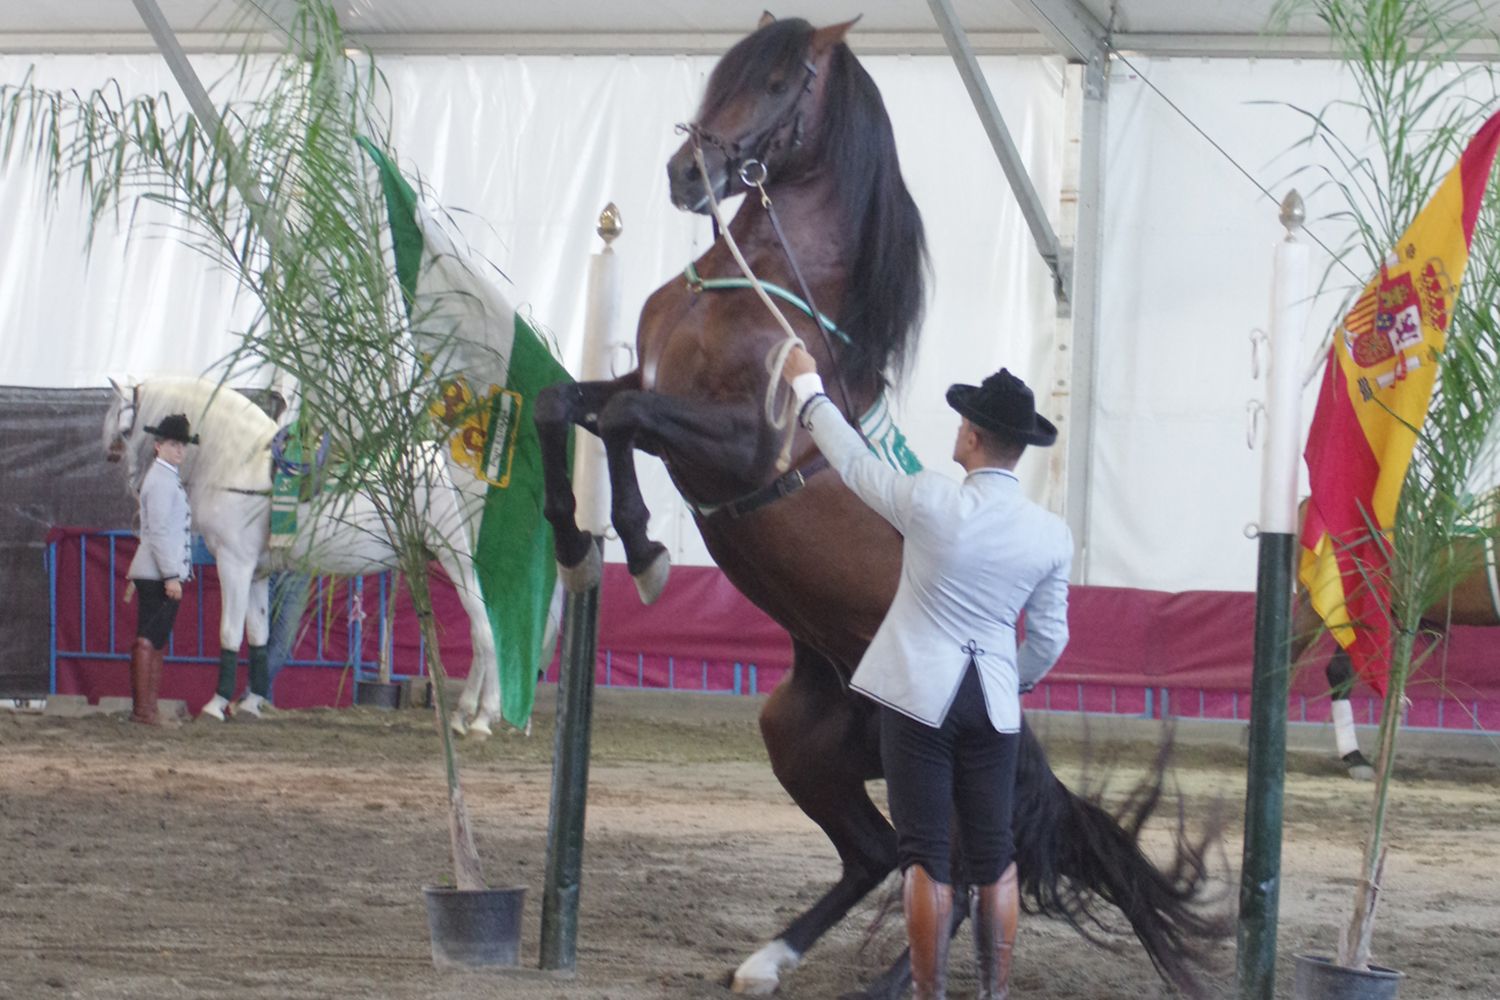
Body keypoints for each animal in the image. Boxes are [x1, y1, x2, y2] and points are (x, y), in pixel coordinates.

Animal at [105, 374, 552, 734]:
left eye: (124, 429)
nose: (130, 481)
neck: (240, 466)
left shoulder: (234, 564)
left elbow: (229, 634)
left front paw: (216, 706)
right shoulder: (257, 573)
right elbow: (259, 636)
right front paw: (250, 702)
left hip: (457, 558)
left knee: (483, 631)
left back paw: (479, 719)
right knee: (484, 630)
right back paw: (465, 715)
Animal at [540, 17, 1230, 1000]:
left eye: (780, 82)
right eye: (727, 73)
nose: (686, 174)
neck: (758, 286)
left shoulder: (737, 448)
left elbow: (623, 423)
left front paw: (641, 551)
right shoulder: (641, 384)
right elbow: (565, 404)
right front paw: (575, 542)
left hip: (923, 770)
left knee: (957, 874)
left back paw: (880, 981)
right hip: (802, 742)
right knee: (877, 855)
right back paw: (770, 960)